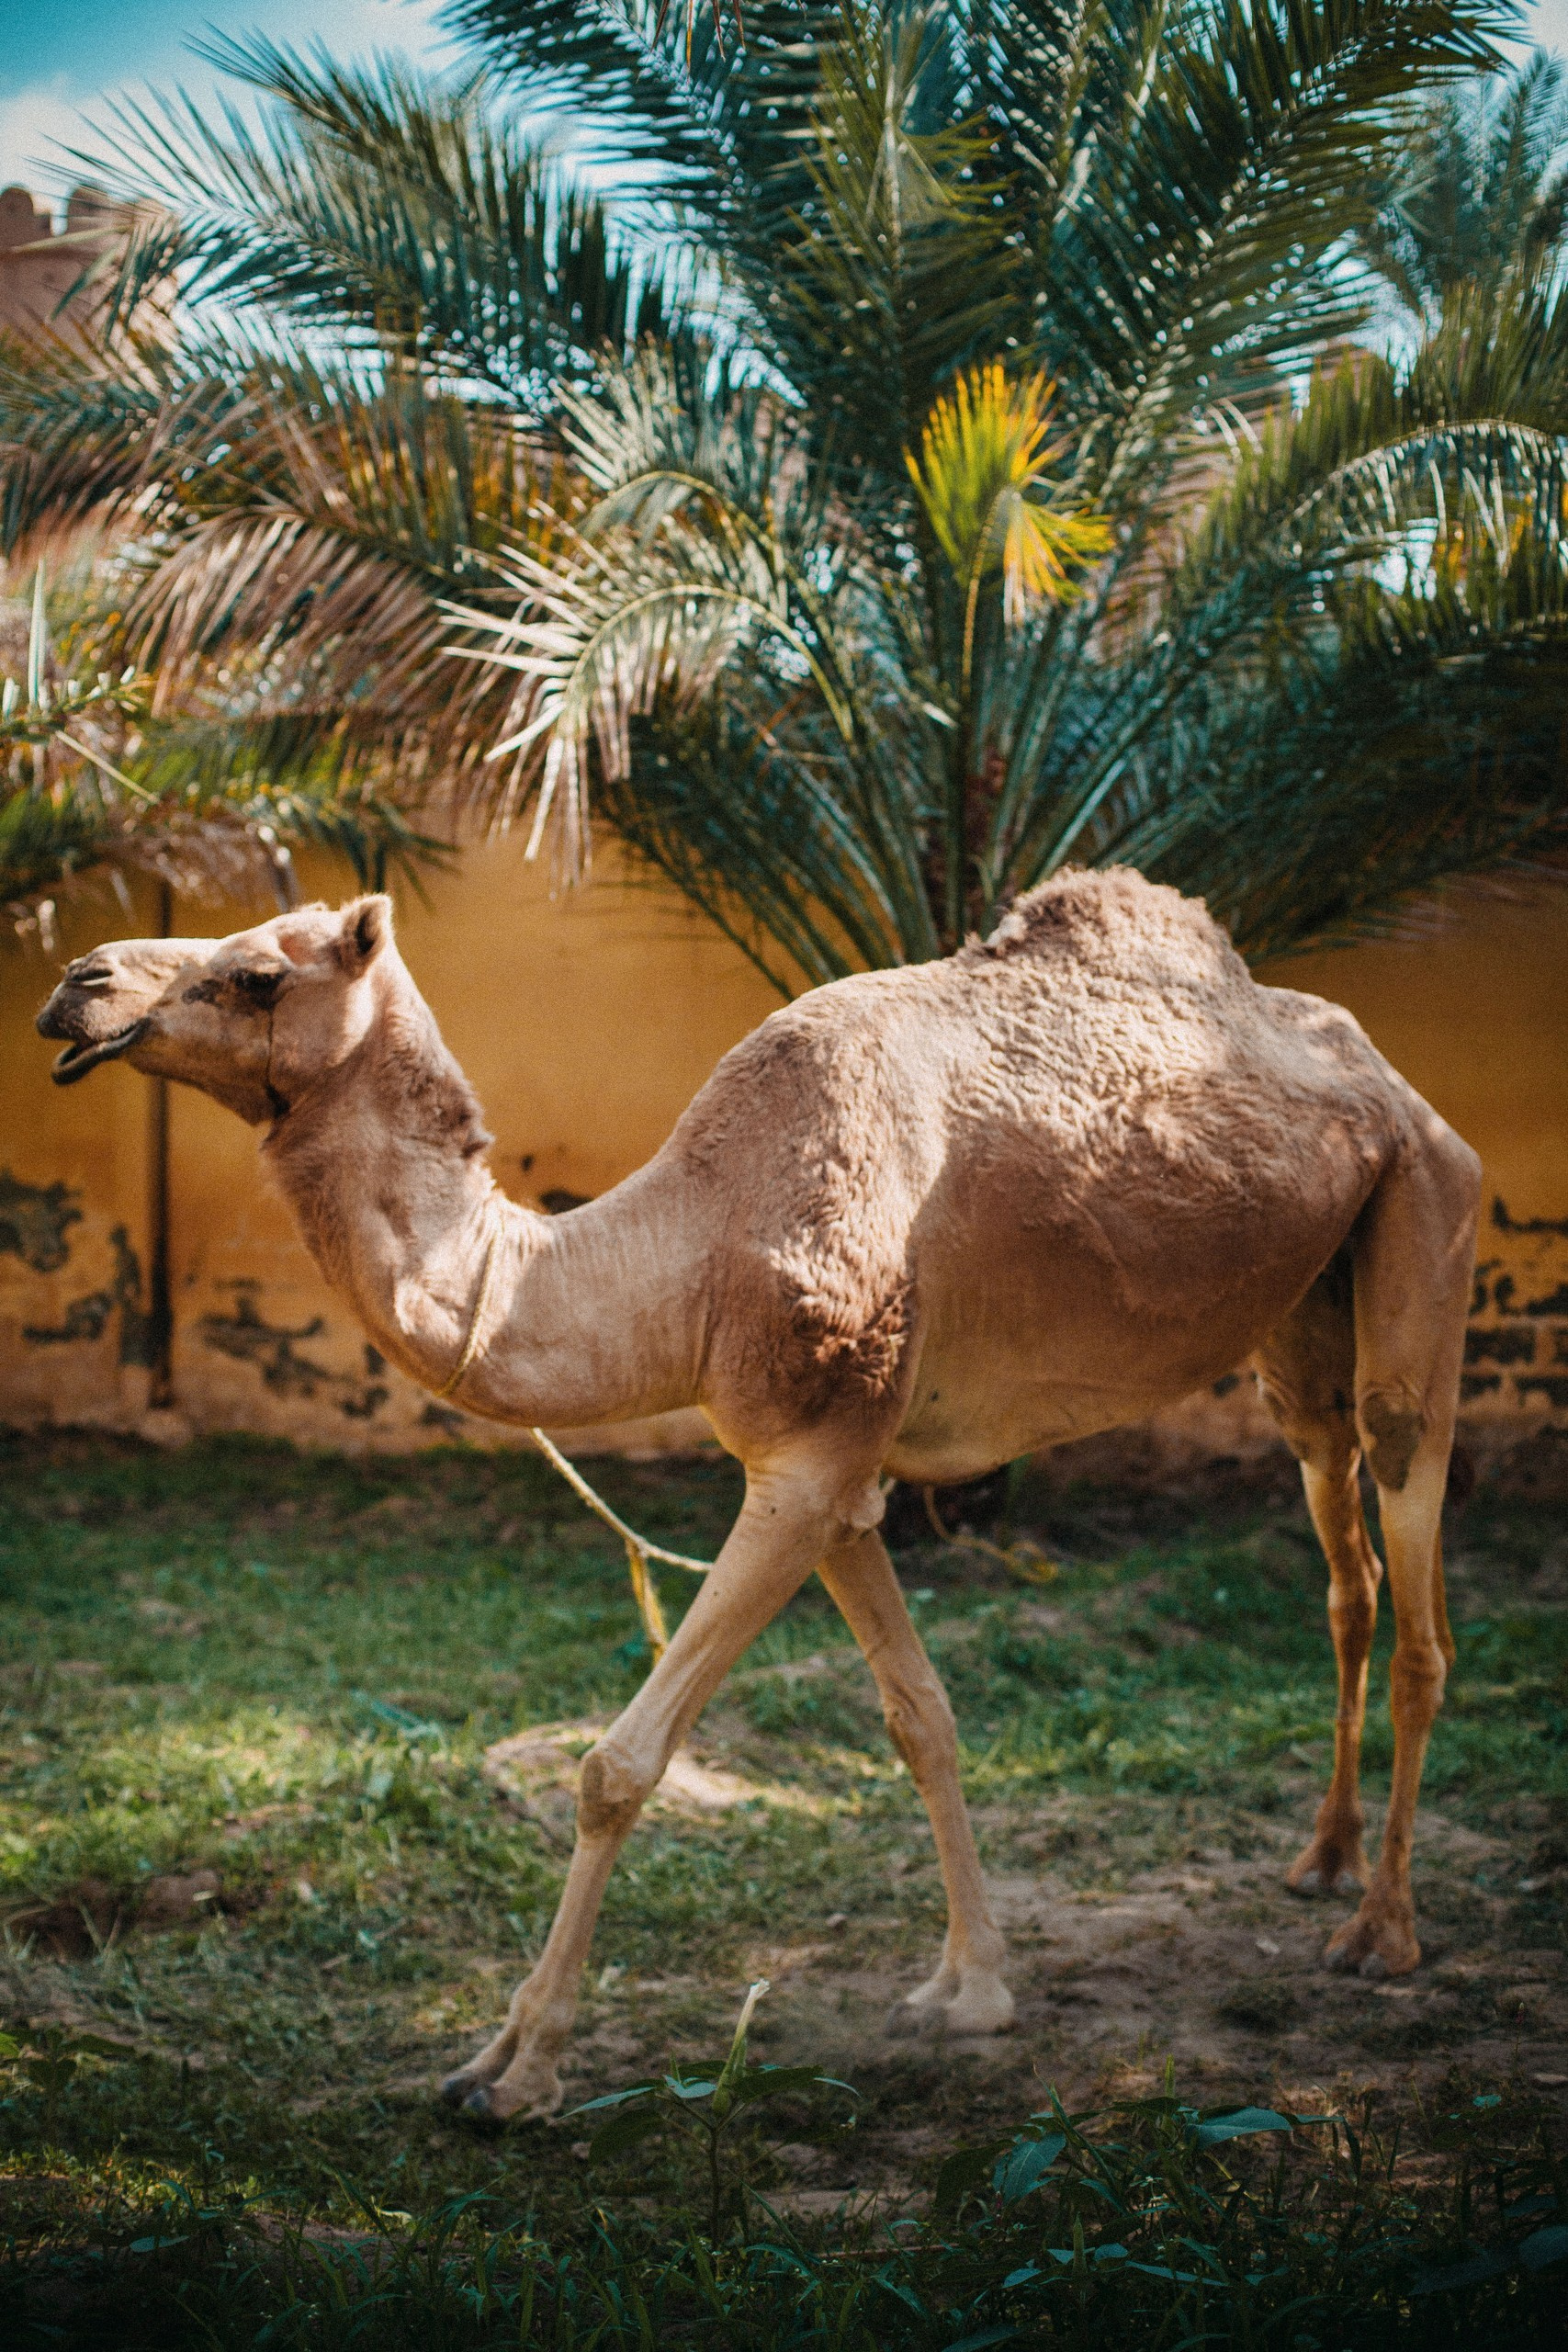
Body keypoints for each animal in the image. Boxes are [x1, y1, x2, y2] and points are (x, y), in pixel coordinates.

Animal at [36, 869, 1480, 2122]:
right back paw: (1320, 1860)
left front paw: (512, 2070)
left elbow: (619, 1765)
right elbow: (921, 1717)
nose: (77, 983)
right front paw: (970, 1990)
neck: (686, 1249)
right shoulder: (833, 1478)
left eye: (259, 973)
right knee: (1343, 1568)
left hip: (1426, 1225)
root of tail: (1392, 1084)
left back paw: (1383, 1931)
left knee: (1418, 1594)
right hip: (1299, 1319)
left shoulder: (806, 1464)